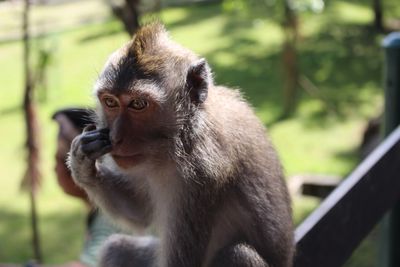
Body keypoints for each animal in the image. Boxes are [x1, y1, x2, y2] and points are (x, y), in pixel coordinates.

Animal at [68, 23, 294, 267]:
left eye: (138, 104)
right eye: (110, 102)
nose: (116, 136)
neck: (185, 136)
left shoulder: (201, 175)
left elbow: (181, 261)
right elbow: (142, 212)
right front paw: (82, 161)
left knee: (236, 253)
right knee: (116, 247)